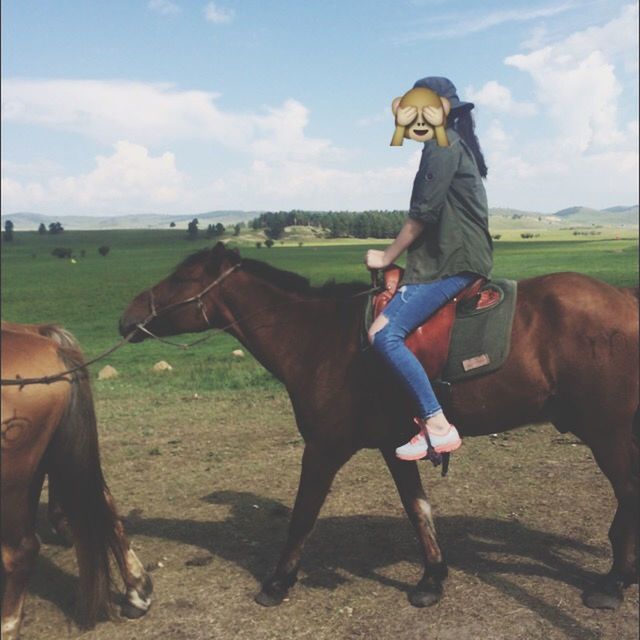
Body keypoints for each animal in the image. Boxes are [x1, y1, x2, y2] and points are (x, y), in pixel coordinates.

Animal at [117, 244, 636, 608]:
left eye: (183, 278)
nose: (127, 318)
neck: (319, 337)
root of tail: (624, 299)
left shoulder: (323, 448)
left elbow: (302, 515)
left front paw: (278, 582)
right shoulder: (394, 445)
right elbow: (418, 510)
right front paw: (431, 580)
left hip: (607, 433)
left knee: (629, 496)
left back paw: (613, 584)